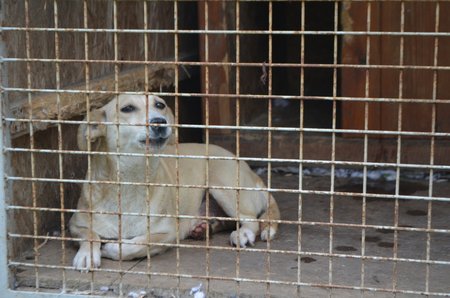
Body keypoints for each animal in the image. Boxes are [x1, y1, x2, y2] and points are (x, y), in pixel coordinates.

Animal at [68, 95, 280, 270]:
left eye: (159, 105)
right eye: (127, 108)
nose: (159, 122)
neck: (132, 179)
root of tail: (252, 172)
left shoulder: (167, 233)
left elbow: (138, 245)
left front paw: (113, 249)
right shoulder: (75, 224)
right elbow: (90, 235)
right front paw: (87, 254)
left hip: (224, 187)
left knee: (251, 220)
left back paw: (241, 234)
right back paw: (203, 227)